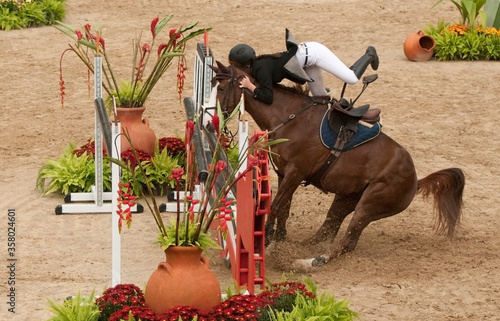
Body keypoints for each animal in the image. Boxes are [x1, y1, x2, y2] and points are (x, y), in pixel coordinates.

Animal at [211, 60, 464, 268]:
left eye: (221, 88)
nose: (213, 119)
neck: (289, 117)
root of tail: (415, 179)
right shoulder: (284, 174)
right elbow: (283, 209)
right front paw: (277, 242)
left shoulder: (295, 173)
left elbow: (275, 207)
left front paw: (265, 243)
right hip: (346, 199)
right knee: (327, 231)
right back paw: (302, 249)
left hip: (368, 206)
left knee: (347, 243)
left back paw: (310, 262)